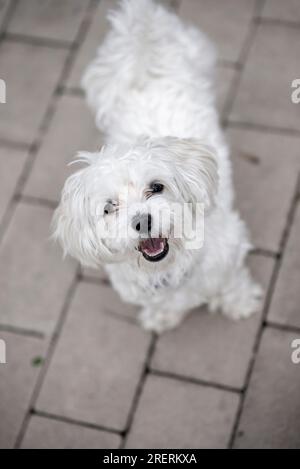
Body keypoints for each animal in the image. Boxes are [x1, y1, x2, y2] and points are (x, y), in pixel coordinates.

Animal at [52, 0, 262, 332]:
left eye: (156, 187)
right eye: (109, 208)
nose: (142, 222)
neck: (171, 262)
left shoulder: (229, 250)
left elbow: (231, 282)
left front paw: (239, 303)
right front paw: (162, 316)